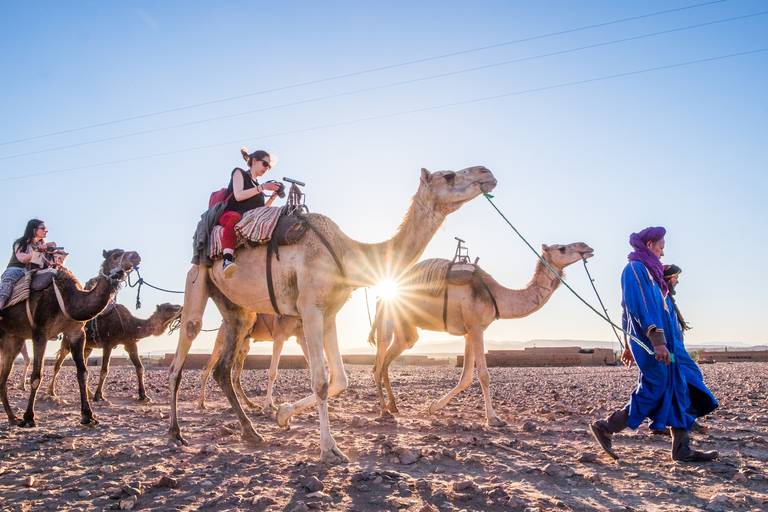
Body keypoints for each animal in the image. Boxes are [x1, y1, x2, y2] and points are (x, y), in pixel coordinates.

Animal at [0, 249, 141, 428]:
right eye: (116, 255)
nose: (136, 255)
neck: (68, 299)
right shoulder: (40, 332)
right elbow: (37, 375)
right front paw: (29, 418)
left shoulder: (76, 333)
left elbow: (83, 373)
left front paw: (89, 416)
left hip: (13, 340)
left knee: (3, 378)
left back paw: (12, 418)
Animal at [48, 300, 183, 404]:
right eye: (168, 308)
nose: (181, 308)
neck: (130, 325)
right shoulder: (108, 344)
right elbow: (104, 370)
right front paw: (98, 396)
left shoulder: (130, 344)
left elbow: (140, 368)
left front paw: (143, 396)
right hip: (68, 338)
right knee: (58, 364)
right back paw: (51, 391)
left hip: (87, 346)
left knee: (84, 363)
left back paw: (88, 394)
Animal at [168, 166, 498, 462]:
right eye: (449, 175)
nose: (487, 173)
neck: (346, 252)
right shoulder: (310, 308)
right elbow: (321, 381)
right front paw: (330, 450)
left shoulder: (330, 313)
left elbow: (340, 380)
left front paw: (283, 415)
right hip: (197, 277)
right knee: (185, 345)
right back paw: (175, 433)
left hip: (236, 309)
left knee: (224, 365)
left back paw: (251, 432)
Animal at [368, 242, 592, 426]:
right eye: (562, 248)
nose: (587, 247)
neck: (496, 295)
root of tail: (380, 296)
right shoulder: (476, 327)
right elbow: (484, 374)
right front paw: (493, 418)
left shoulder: (469, 331)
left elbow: (466, 377)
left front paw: (433, 407)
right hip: (387, 317)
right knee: (378, 362)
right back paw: (383, 410)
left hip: (406, 327)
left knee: (393, 355)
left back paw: (393, 406)